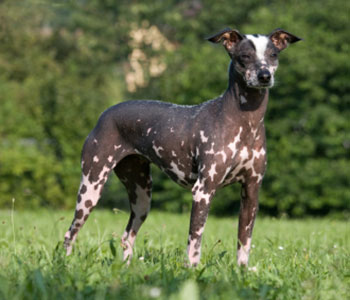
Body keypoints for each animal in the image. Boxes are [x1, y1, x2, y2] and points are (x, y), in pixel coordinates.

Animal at [63, 27, 300, 268]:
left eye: (273, 55)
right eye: (245, 56)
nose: (264, 76)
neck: (245, 121)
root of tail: (105, 114)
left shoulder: (251, 192)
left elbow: (244, 243)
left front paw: (241, 271)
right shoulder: (203, 191)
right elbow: (194, 242)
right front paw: (192, 270)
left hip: (141, 197)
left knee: (127, 235)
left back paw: (126, 268)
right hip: (91, 187)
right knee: (70, 233)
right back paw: (66, 263)